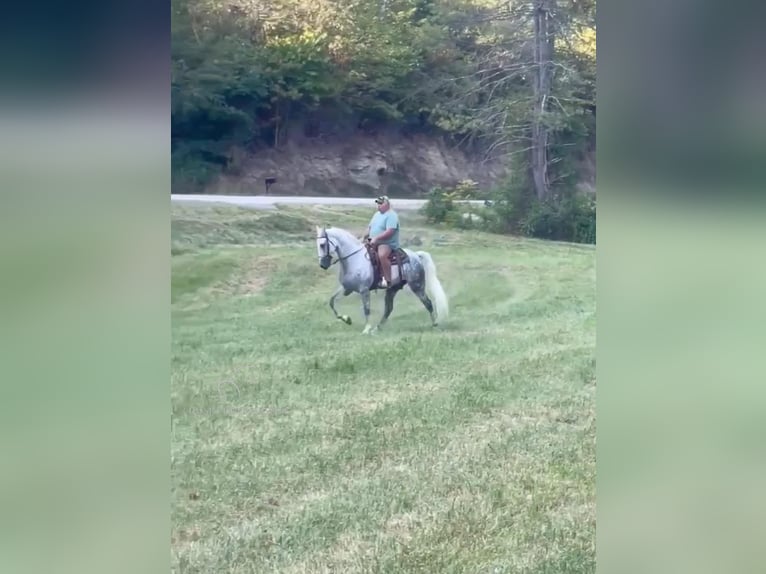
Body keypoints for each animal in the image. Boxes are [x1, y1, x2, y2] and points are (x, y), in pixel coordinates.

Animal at [316, 225, 450, 332]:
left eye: (323, 245)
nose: (322, 265)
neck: (354, 260)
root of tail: (415, 255)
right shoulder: (346, 288)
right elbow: (332, 302)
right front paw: (346, 319)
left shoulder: (364, 290)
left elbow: (366, 309)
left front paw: (366, 329)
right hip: (392, 289)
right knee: (388, 309)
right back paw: (377, 328)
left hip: (417, 286)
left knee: (428, 303)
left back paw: (435, 324)